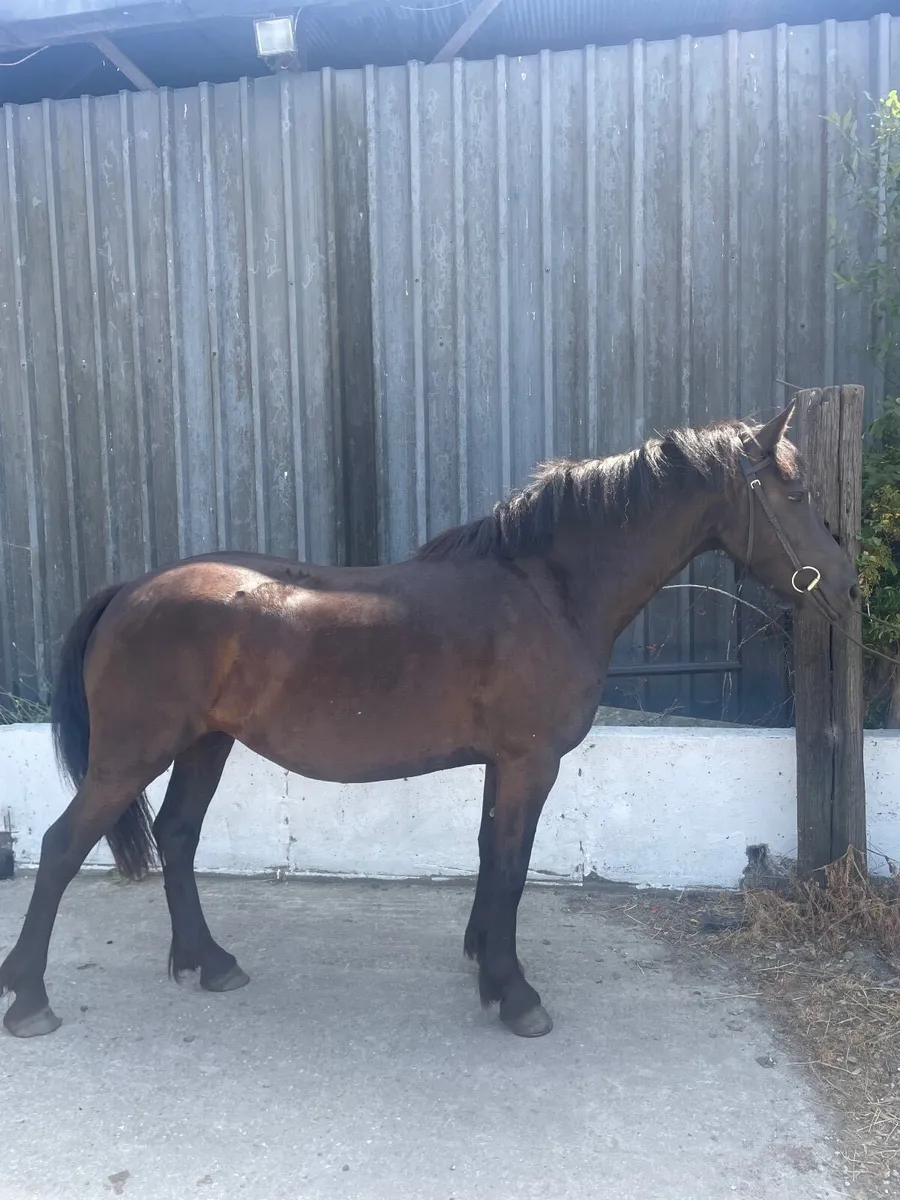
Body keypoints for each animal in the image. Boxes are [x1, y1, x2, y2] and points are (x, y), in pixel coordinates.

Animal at [0, 401, 859, 1040]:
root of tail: (131, 588)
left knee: (177, 838)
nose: (848, 586)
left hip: (204, 745)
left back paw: (209, 963)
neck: (547, 588)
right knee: (62, 847)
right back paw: (31, 998)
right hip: (131, 756)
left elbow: (489, 855)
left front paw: (484, 961)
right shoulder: (529, 762)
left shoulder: (499, 763)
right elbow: (511, 865)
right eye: (795, 495)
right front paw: (516, 995)